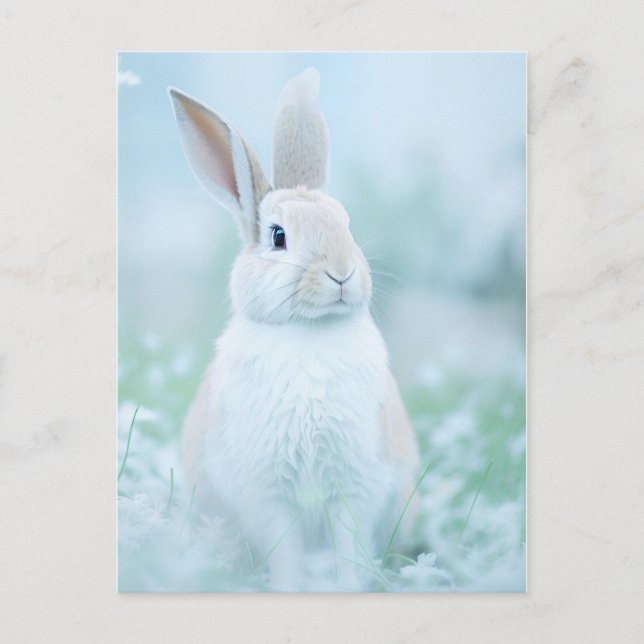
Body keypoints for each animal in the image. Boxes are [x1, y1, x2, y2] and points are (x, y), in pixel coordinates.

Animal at [169, 67, 419, 590]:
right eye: (278, 236)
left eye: (347, 224)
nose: (342, 273)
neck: (309, 331)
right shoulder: (268, 494)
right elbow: (286, 552)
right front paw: (291, 589)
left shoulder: (355, 486)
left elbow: (349, 549)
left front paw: (348, 589)